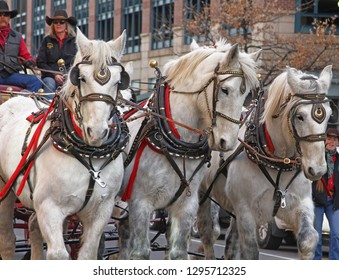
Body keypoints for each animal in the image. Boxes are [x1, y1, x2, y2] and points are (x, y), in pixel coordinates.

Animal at [0, 27, 130, 260]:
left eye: (118, 81)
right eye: (82, 78)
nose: (97, 132)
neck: (88, 154)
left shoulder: (101, 211)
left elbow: (87, 253)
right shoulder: (49, 208)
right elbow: (59, 255)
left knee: (32, 226)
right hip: (5, 189)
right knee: (7, 239)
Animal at [118, 40, 262, 260]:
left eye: (246, 94)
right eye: (225, 90)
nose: (227, 142)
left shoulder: (186, 205)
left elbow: (178, 252)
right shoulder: (140, 202)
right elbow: (140, 253)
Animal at [198, 64, 334, 260]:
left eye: (329, 114)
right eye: (300, 116)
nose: (318, 169)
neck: (277, 163)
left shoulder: (299, 203)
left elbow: (308, 239)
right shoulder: (247, 210)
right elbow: (251, 251)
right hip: (203, 194)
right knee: (207, 233)